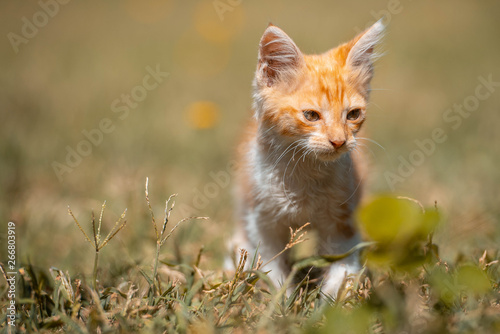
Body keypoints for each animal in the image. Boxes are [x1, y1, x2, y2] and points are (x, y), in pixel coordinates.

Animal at [232, 20, 384, 298]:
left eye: (353, 114)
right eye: (311, 115)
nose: (339, 141)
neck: (305, 172)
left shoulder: (343, 220)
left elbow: (342, 268)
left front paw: (330, 302)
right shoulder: (263, 221)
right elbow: (272, 267)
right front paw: (281, 302)